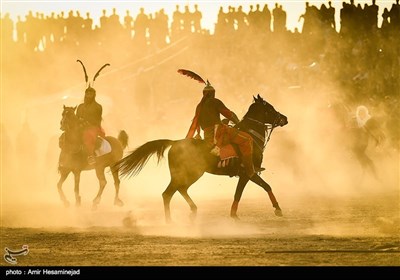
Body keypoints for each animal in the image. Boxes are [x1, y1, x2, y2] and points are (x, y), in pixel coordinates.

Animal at [112, 94, 288, 223]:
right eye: (269, 108)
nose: (284, 118)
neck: (251, 136)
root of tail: (174, 143)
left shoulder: (245, 175)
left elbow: (240, 193)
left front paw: (234, 214)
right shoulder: (248, 173)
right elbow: (264, 187)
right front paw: (278, 209)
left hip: (190, 174)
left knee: (180, 190)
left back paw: (193, 210)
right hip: (189, 174)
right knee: (168, 193)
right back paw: (170, 221)